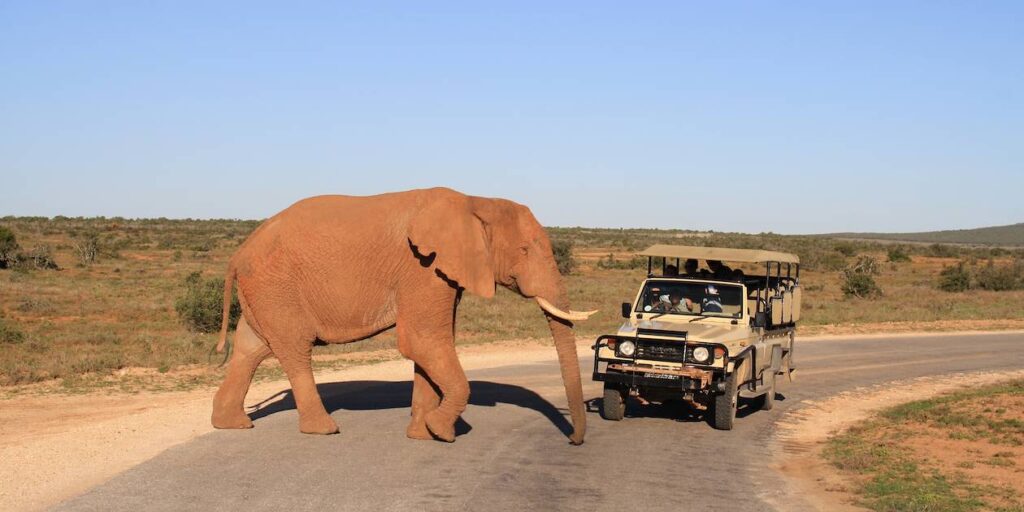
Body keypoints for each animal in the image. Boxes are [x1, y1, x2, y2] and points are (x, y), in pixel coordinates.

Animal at [211, 188, 598, 444]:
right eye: (524, 249)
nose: (573, 441)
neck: (475, 200)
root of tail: (237, 255)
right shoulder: (422, 268)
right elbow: (422, 341)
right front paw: (443, 432)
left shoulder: (438, 273)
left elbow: (431, 345)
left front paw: (423, 434)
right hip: (277, 286)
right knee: (293, 349)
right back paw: (324, 429)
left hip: (264, 291)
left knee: (251, 349)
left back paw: (232, 425)